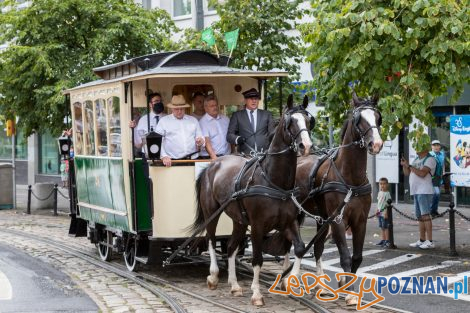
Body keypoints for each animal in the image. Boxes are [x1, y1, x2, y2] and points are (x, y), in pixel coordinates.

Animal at [193, 95, 314, 304]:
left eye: (308, 120)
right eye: (290, 121)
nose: (305, 146)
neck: (273, 181)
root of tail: (212, 164)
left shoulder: (289, 222)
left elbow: (299, 248)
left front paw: (289, 280)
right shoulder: (258, 226)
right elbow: (257, 258)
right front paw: (257, 293)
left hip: (239, 220)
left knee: (231, 247)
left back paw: (234, 285)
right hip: (212, 212)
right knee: (211, 239)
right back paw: (213, 276)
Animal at [296, 91, 384, 304]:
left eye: (378, 117)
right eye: (359, 119)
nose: (376, 144)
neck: (351, 178)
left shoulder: (360, 221)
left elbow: (357, 257)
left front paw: (347, 286)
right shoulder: (338, 220)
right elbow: (344, 255)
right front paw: (349, 292)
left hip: (321, 219)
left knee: (317, 247)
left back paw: (320, 286)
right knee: (296, 245)